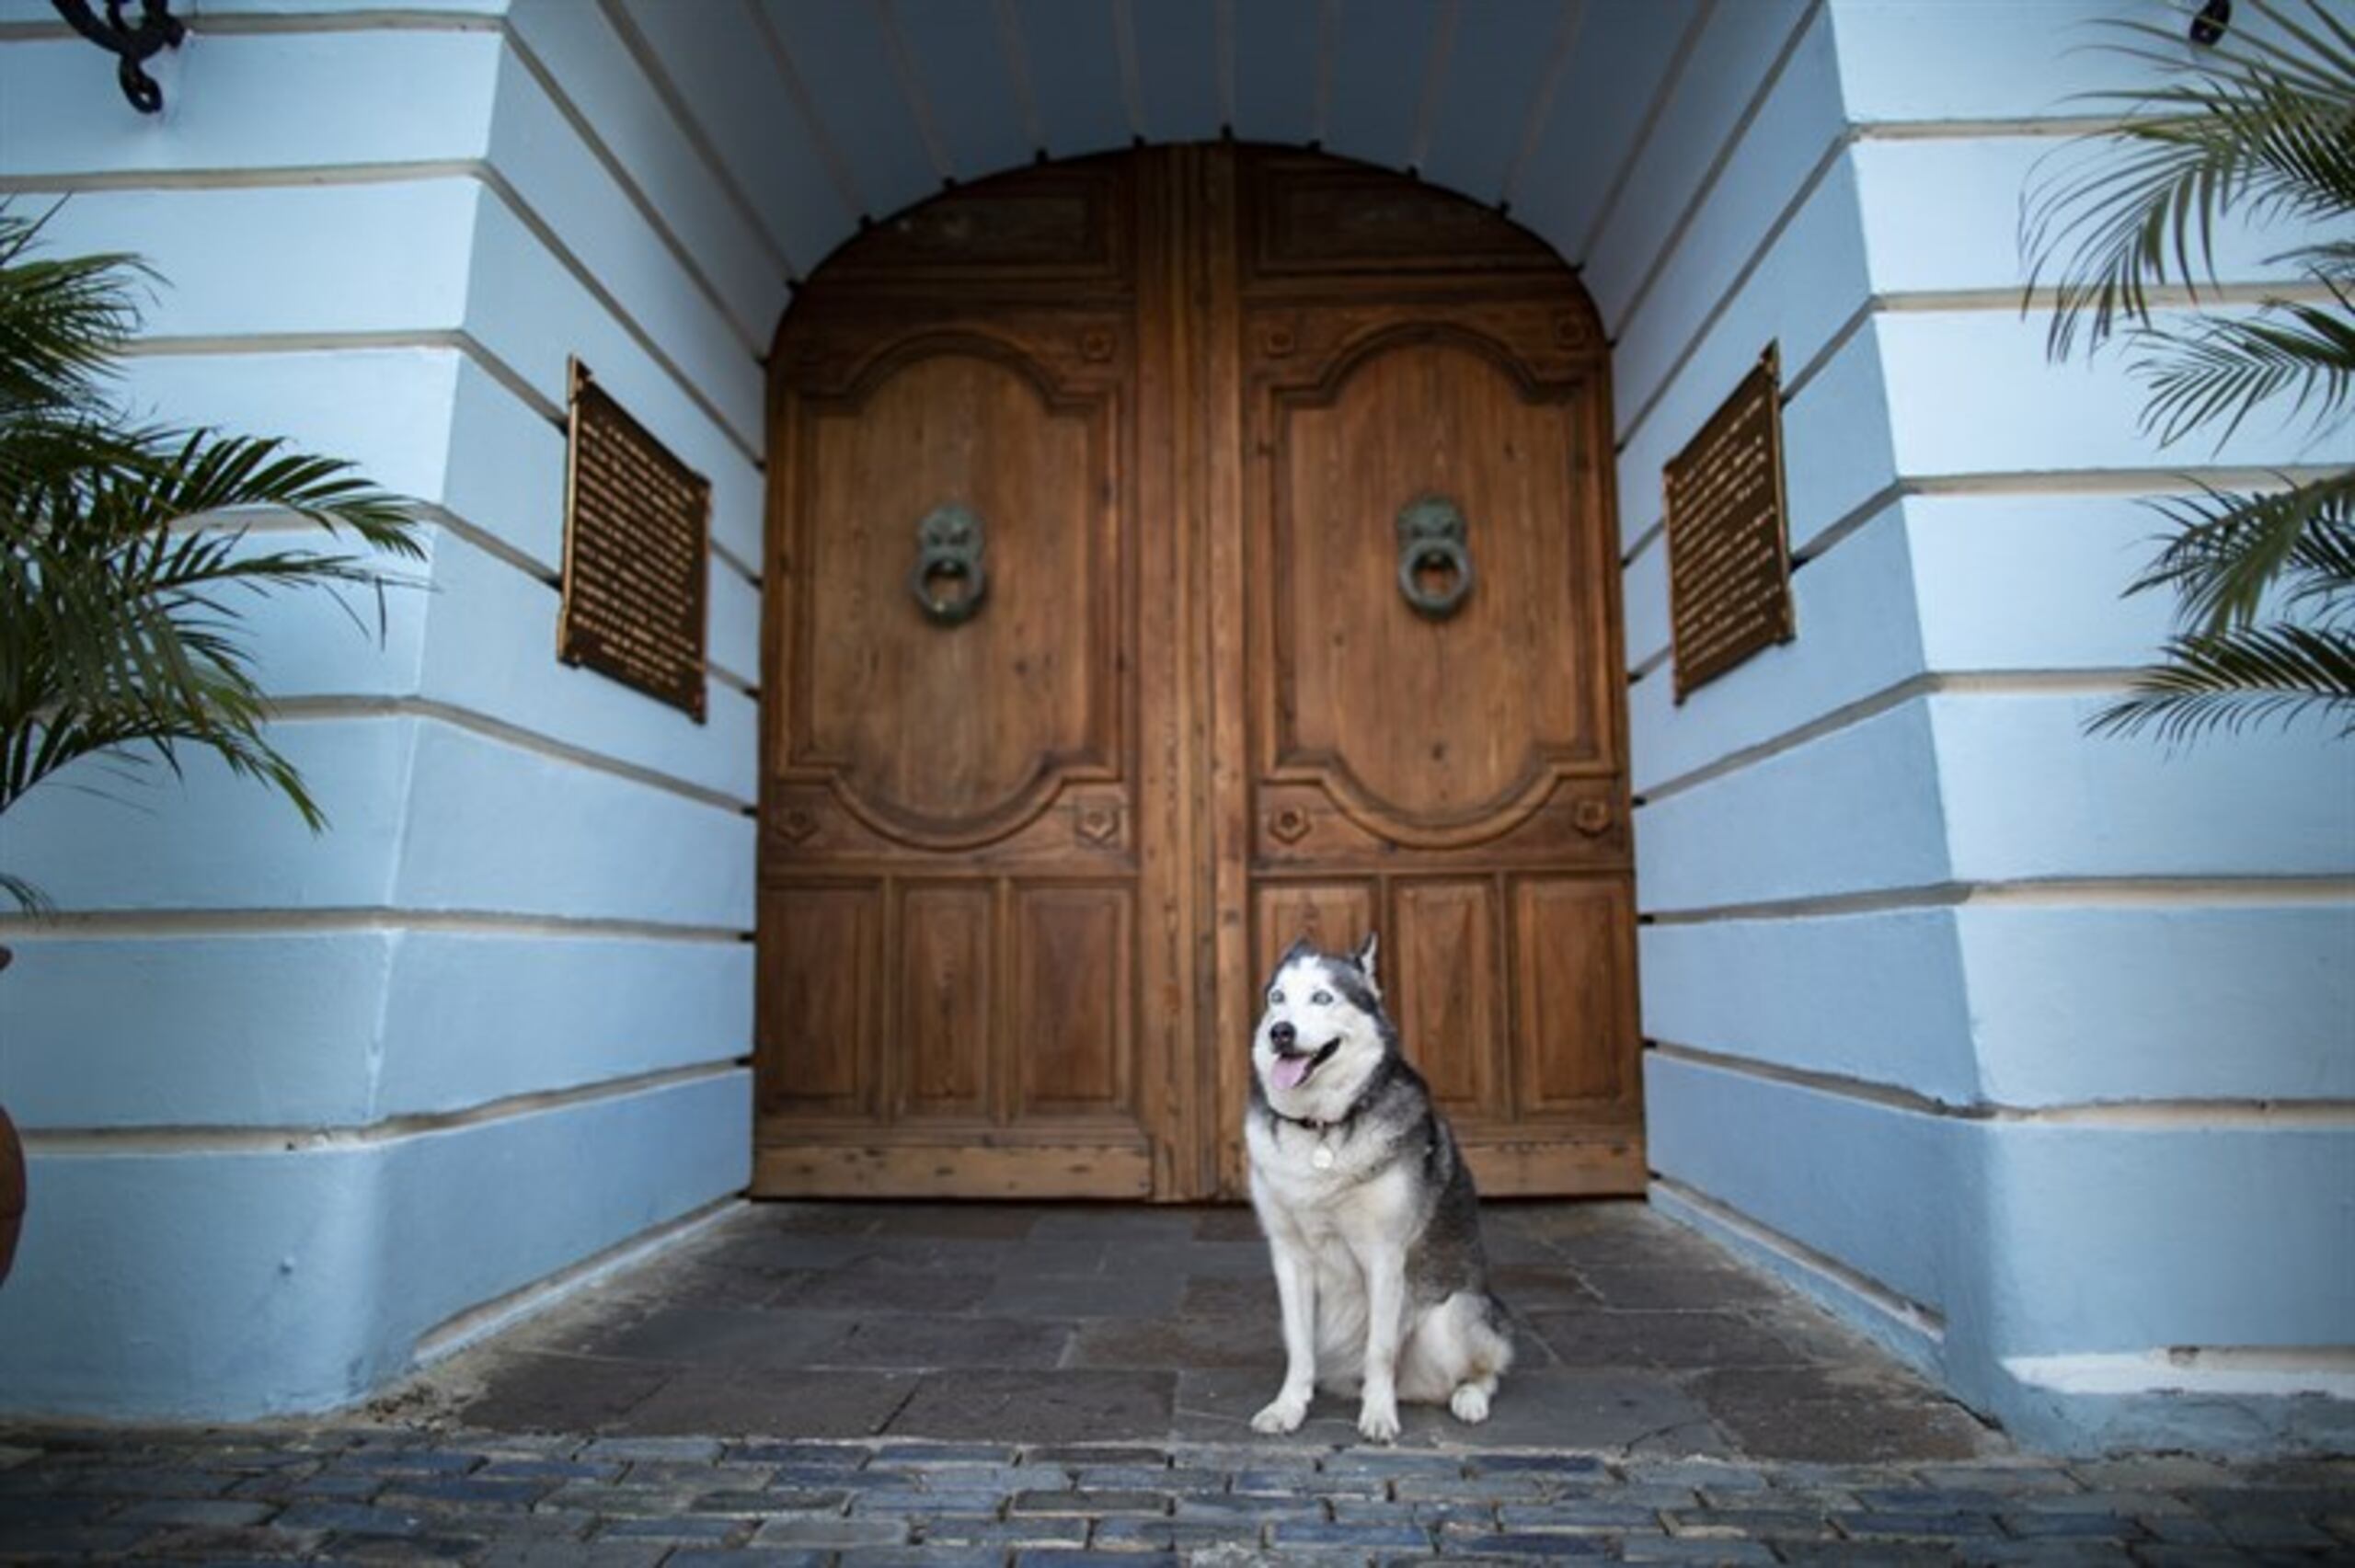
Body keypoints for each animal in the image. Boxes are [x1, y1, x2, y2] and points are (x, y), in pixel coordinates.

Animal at [1243, 927, 1516, 1440]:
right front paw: (1289, 1406)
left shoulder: (1385, 1254)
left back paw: (1466, 1398)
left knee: (1485, 1368)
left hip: (1452, 1318)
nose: (1279, 1032)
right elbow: (1299, 1348)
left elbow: (1380, 1349)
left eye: (1322, 997)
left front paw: (1378, 1415)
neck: (1322, 1128)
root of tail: (1414, 1387)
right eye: (1277, 998)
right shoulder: (1288, 1255)